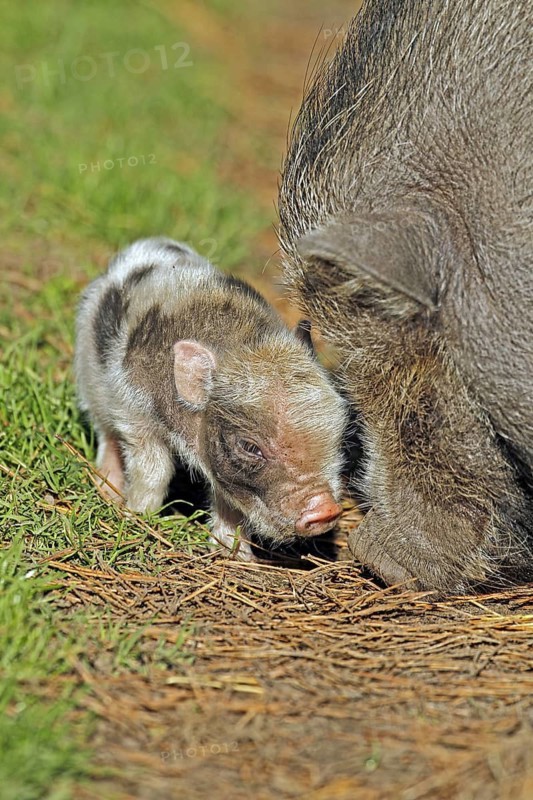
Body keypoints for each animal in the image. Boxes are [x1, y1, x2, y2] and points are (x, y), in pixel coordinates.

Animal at [75, 237, 347, 560]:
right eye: (249, 446)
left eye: (338, 434)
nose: (326, 509)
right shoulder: (134, 414)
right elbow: (154, 470)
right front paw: (137, 516)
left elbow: (229, 505)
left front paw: (239, 558)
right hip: (90, 384)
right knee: (106, 435)